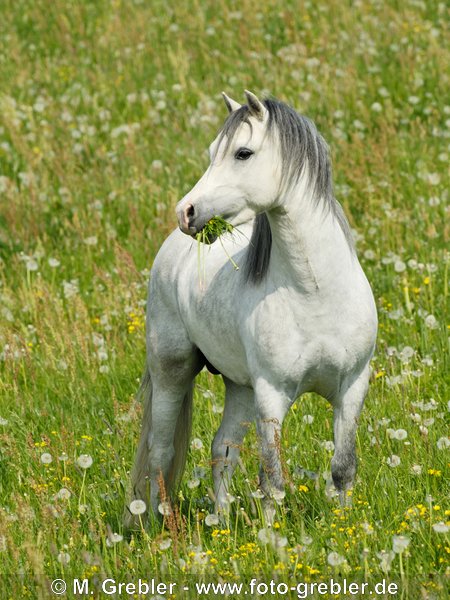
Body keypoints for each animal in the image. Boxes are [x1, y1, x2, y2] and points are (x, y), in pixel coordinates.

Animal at [125, 91, 378, 528]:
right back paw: (165, 527)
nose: (186, 212)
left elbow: (343, 468)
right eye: (213, 152)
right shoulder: (271, 395)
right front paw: (271, 538)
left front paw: (345, 529)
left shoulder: (352, 386)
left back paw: (222, 524)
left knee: (223, 449)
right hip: (172, 370)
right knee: (161, 452)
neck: (315, 292)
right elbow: (272, 479)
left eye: (243, 153)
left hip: (239, 386)